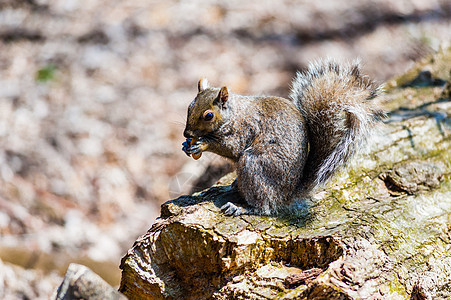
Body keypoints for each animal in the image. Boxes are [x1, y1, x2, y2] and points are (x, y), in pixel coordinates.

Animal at [182, 59, 384, 216]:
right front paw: (186, 145)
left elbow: (231, 147)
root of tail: (288, 192)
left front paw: (202, 144)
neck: (233, 113)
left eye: (209, 115)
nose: (187, 134)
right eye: (189, 106)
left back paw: (241, 207)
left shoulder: (244, 129)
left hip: (254, 165)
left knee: (264, 206)